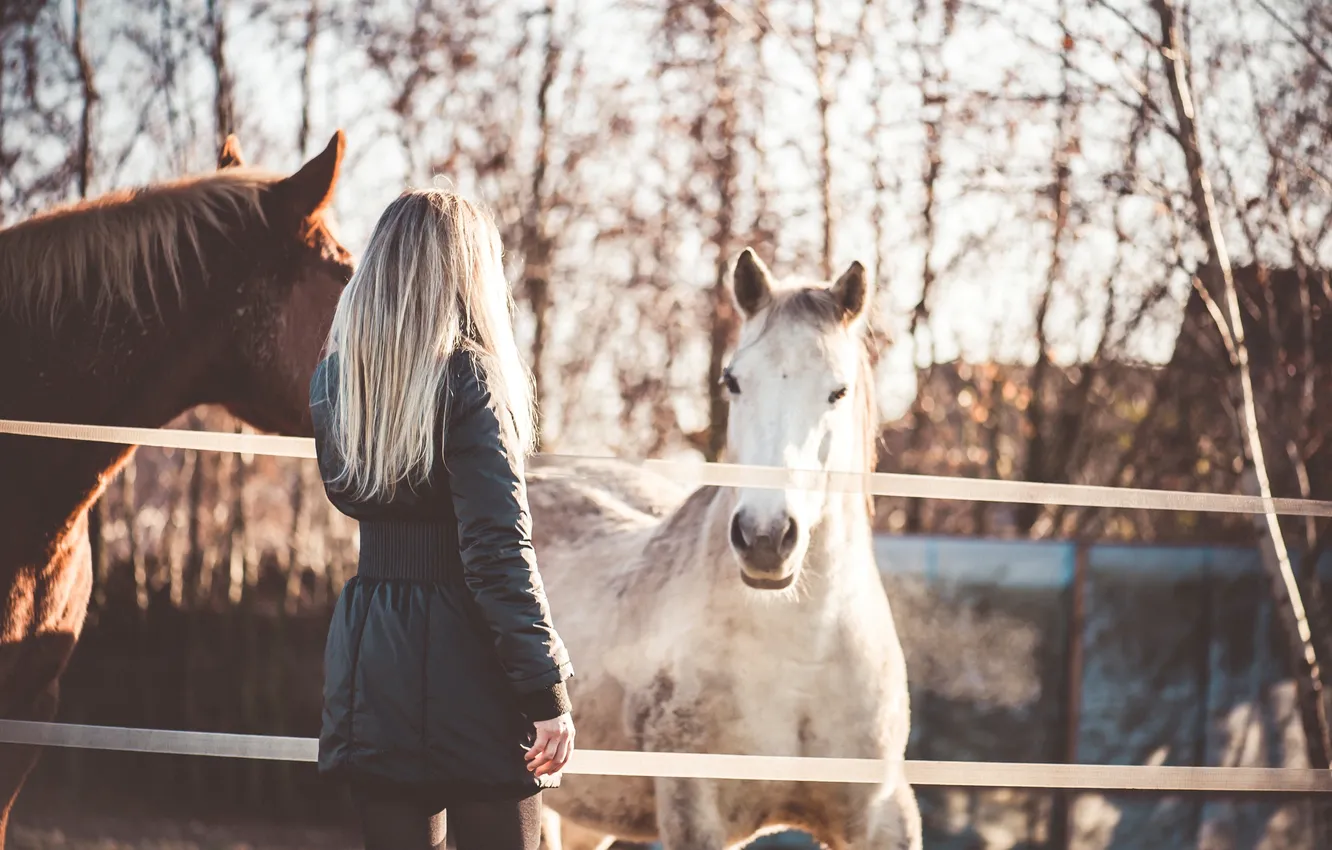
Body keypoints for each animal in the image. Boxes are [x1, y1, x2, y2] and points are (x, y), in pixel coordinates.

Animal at [526, 249, 921, 850]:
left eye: (839, 391)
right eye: (732, 381)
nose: (764, 537)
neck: (803, 658)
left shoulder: (882, 818)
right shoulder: (697, 816)